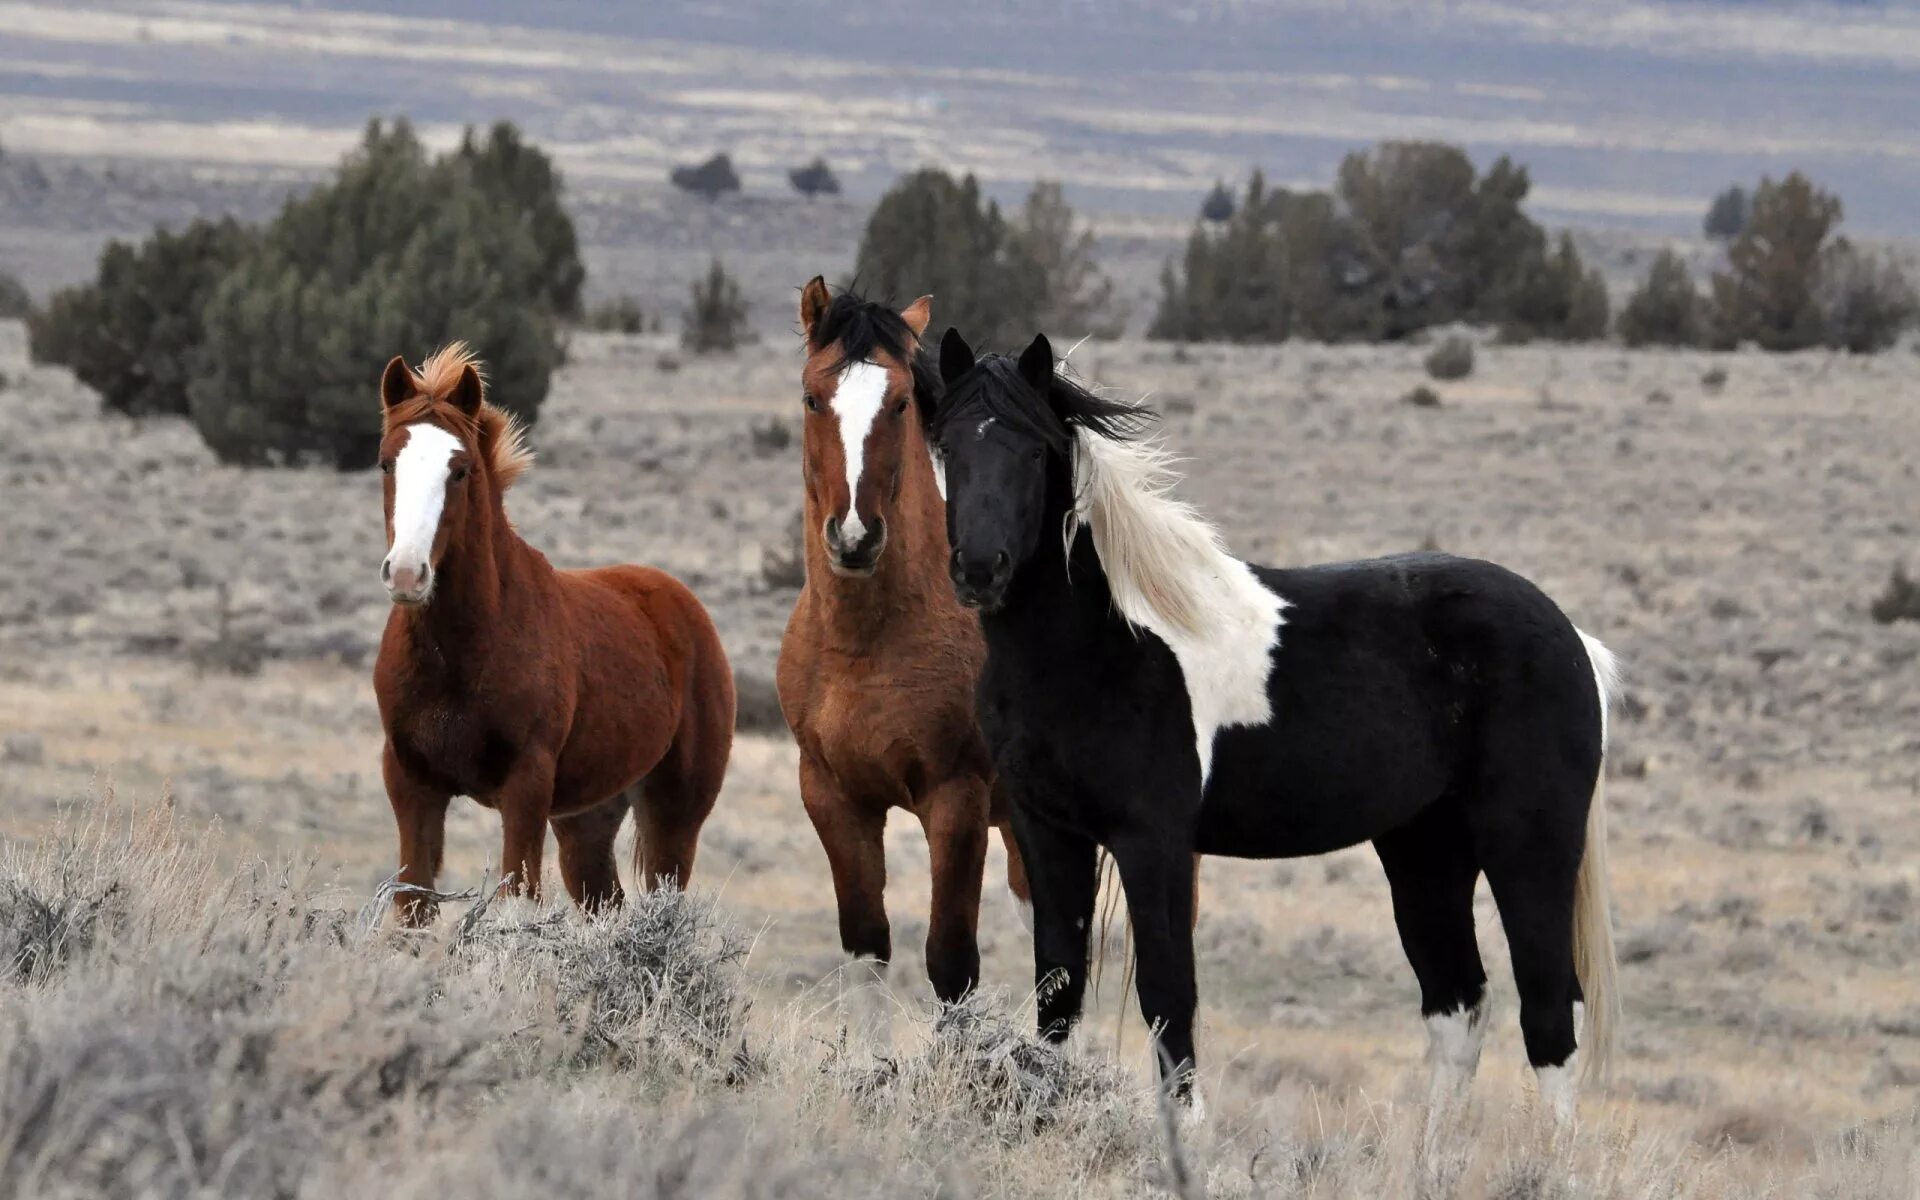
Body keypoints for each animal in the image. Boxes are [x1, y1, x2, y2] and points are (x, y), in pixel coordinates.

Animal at [372, 341, 733, 921]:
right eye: (387, 462)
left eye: (460, 470)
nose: (407, 574)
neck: (460, 652)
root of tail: (683, 605)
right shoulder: (412, 784)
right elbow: (412, 906)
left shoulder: (526, 788)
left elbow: (516, 899)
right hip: (586, 820)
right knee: (605, 902)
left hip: (673, 816)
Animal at [771, 280, 1029, 998]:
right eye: (812, 397)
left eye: (900, 401)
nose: (855, 536)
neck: (864, 647)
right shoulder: (834, 798)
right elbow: (867, 948)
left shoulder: (957, 801)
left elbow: (951, 963)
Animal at [929, 322, 1620, 1121]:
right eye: (946, 445)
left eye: (1034, 450)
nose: (981, 568)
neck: (1103, 644)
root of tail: (1572, 639)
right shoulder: (1048, 833)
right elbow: (1059, 995)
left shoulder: (1152, 842)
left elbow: (1169, 1001)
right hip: (1426, 849)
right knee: (1458, 1006)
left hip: (1528, 848)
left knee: (1549, 1016)